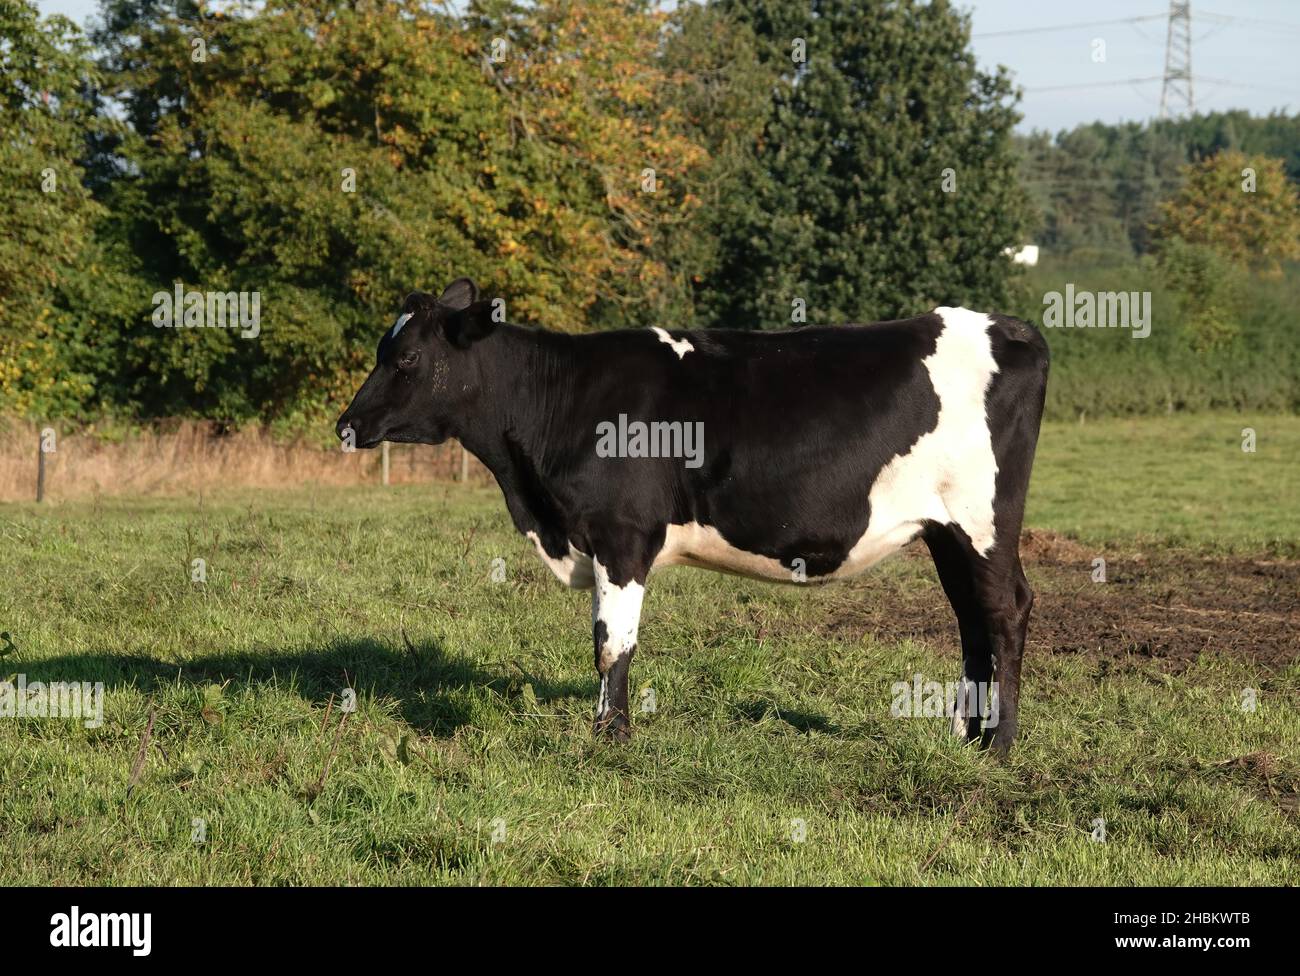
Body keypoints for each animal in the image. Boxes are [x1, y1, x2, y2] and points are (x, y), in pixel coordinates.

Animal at [336, 278, 1050, 755]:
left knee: (1005, 609)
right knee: (971, 620)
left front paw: (610, 737)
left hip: (983, 520)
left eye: (405, 358)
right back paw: (967, 737)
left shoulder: (622, 535)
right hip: (947, 531)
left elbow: (611, 644)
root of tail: (1005, 326)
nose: (346, 423)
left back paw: (1001, 744)